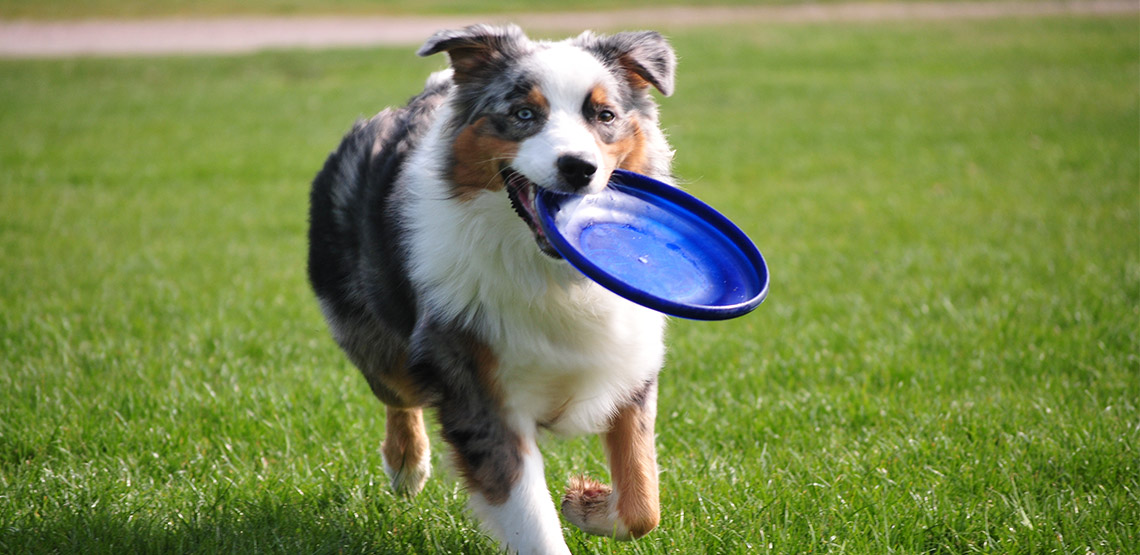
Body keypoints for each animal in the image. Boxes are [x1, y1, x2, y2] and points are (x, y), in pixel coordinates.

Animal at [303, 23, 674, 553]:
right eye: (524, 114)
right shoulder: (478, 390)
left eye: (604, 116)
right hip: (380, 344)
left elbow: (643, 504)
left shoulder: (629, 364)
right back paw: (406, 467)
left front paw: (585, 503)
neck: (549, 274)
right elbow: (533, 521)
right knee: (399, 394)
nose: (578, 167)